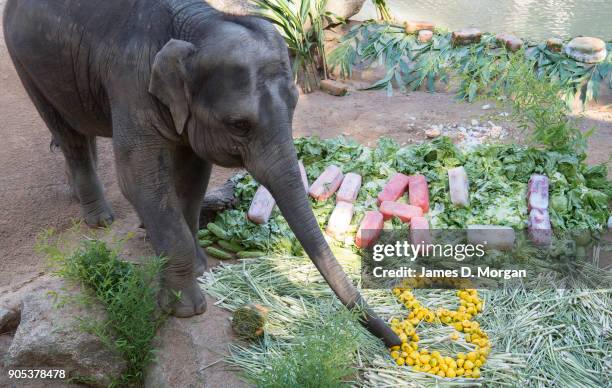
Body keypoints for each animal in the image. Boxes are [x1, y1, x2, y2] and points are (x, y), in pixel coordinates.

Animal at [3, 0, 402, 346]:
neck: (200, 23)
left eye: (294, 104)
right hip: (25, 63)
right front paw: (186, 309)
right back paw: (100, 219)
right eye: (239, 124)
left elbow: (192, 174)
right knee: (65, 129)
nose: (396, 341)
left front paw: (197, 266)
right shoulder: (131, 82)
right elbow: (139, 179)